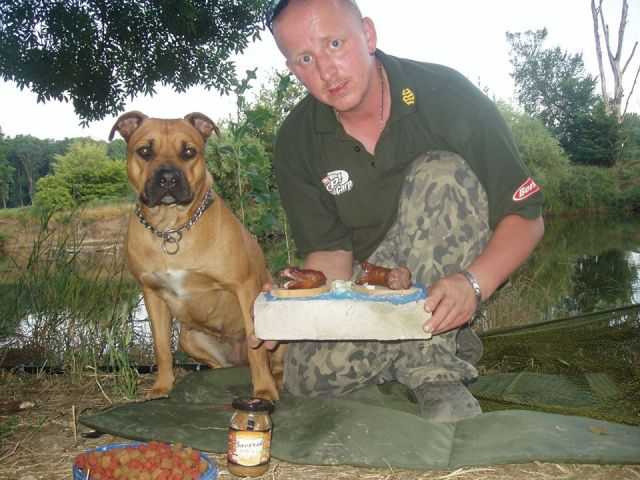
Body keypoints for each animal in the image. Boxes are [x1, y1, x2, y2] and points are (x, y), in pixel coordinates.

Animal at [109, 110, 282, 400]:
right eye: (144, 151)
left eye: (189, 152)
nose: (168, 177)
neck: (171, 228)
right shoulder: (151, 294)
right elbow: (161, 348)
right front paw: (162, 387)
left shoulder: (244, 285)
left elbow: (257, 351)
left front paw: (264, 391)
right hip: (189, 338)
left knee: (270, 359)